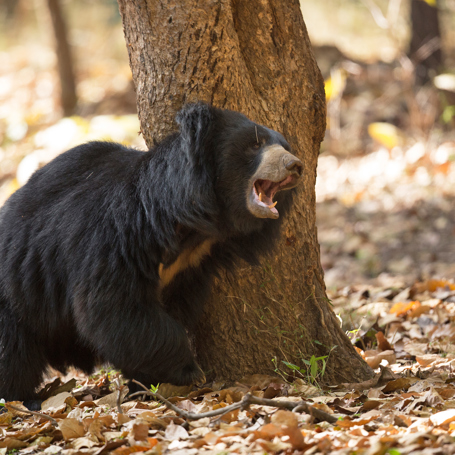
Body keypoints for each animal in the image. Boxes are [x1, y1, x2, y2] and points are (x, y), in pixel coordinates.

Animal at [0, 103, 302, 402]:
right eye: (255, 144)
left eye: (284, 146)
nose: (295, 165)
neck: (191, 227)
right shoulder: (114, 238)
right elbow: (112, 306)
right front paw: (189, 371)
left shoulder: (189, 264)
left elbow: (167, 312)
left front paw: (146, 382)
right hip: (14, 294)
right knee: (12, 351)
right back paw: (21, 398)